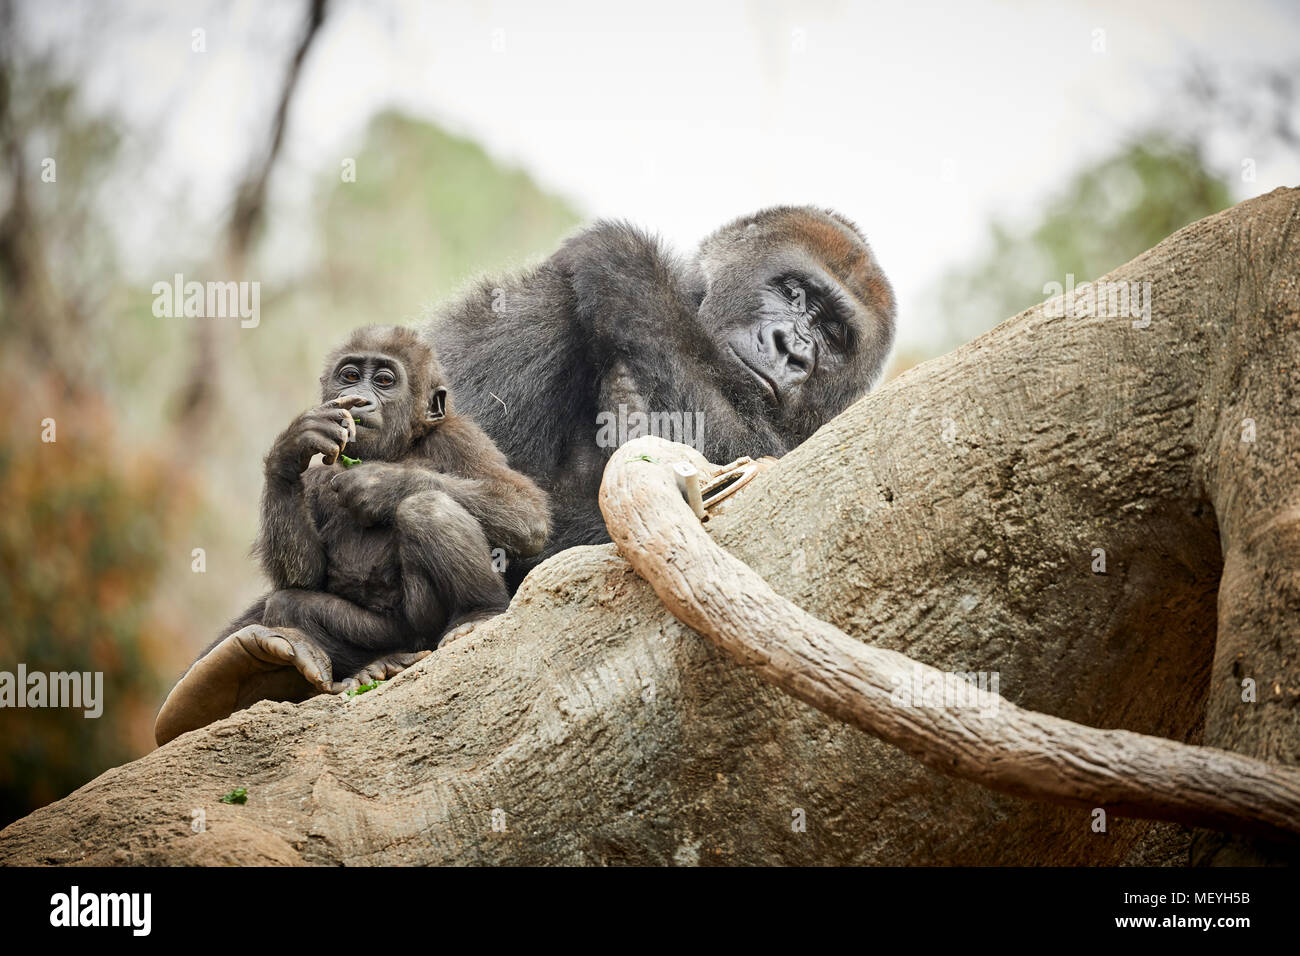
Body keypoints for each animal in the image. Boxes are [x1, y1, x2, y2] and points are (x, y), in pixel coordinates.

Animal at [154, 325, 546, 743]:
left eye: (385, 381)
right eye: (351, 376)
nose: (362, 400)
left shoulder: (460, 437)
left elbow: (523, 510)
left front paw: (381, 484)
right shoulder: (316, 477)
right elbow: (305, 575)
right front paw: (290, 451)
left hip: (427, 626)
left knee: (426, 508)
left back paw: (479, 613)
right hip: (387, 636)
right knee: (289, 606)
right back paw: (368, 666)